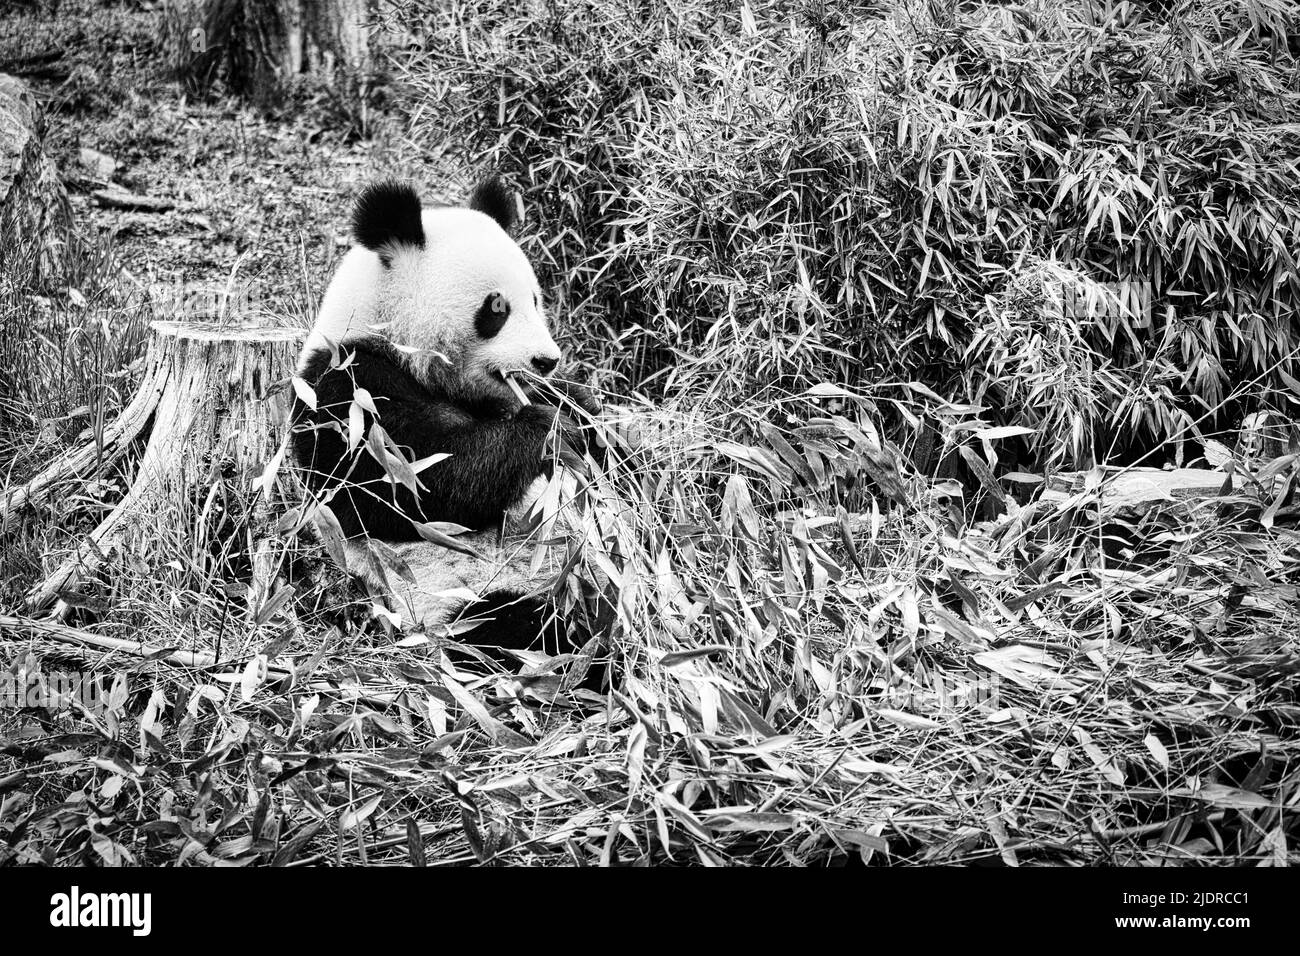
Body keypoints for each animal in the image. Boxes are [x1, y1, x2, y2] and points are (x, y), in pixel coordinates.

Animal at [289, 175, 598, 660]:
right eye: (496, 307)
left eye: (535, 299)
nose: (547, 360)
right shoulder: (347, 392)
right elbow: (414, 487)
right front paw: (550, 431)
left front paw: (583, 411)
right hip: (460, 598)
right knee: (513, 630)